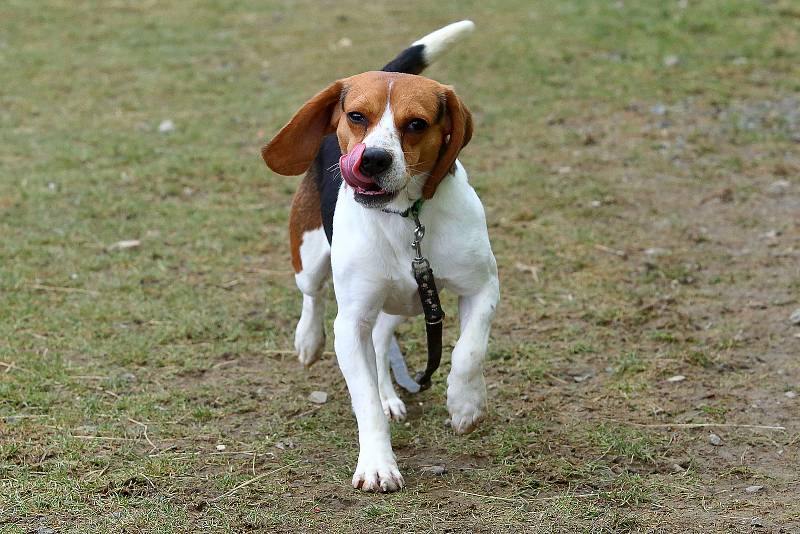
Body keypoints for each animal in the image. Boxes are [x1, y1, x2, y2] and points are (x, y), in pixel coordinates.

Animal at [266, 22, 496, 494]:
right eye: (357, 116)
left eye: (417, 124)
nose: (372, 159)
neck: (406, 220)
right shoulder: (351, 321)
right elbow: (365, 400)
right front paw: (377, 464)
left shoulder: (482, 287)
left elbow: (469, 351)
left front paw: (465, 403)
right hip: (311, 256)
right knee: (313, 296)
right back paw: (308, 340)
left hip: (403, 302)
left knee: (381, 339)